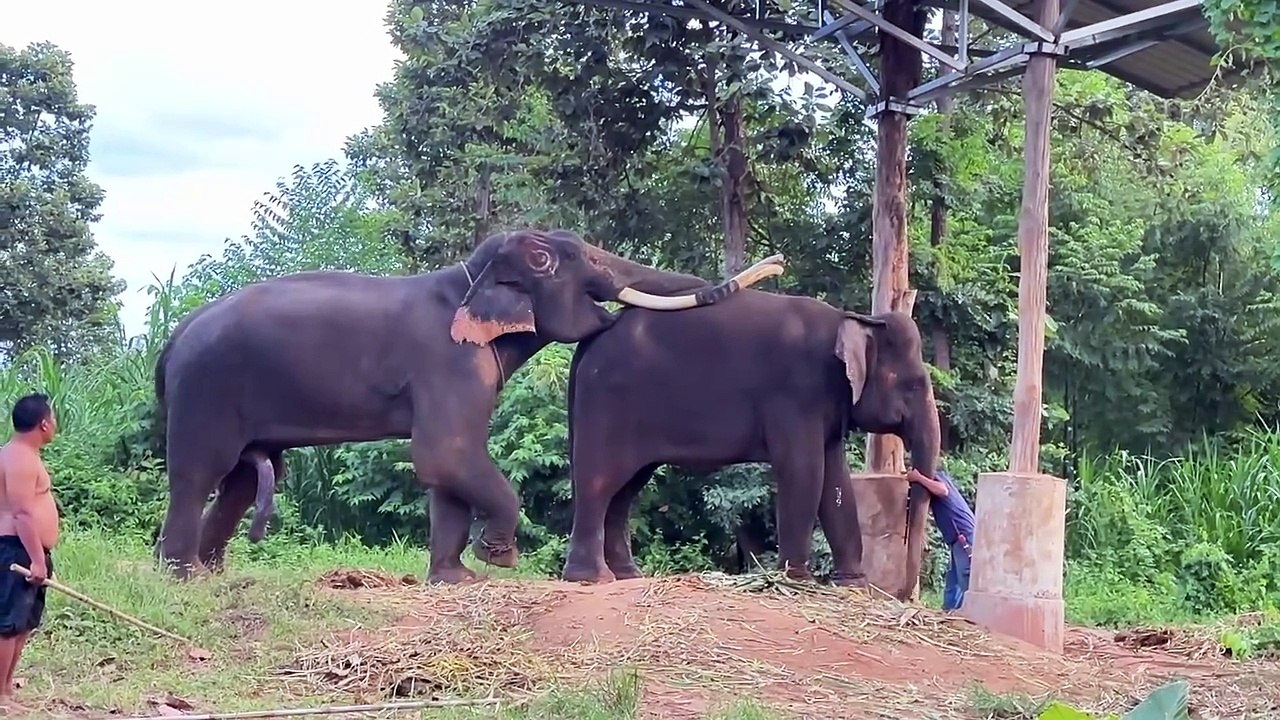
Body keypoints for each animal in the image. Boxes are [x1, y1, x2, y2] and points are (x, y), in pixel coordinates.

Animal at [152, 228, 785, 581]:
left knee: (243, 478)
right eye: (557, 259)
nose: (777, 263)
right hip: (205, 391)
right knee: (200, 471)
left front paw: (456, 580)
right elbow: (446, 453)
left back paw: (208, 573)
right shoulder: (448, 363)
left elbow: (444, 470)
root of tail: (174, 337)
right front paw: (498, 560)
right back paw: (182, 577)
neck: (466, 276)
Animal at [560, 288, 941, 586]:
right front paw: (795, 580)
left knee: (624, 490)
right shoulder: (796, 393)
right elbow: (803, 470)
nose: (912, 476)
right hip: (609, 404)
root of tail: (589, 343)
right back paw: (592, 578)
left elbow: (836, 480)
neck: (855, 320)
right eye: (913, 384)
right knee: (600, 481)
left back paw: (626, 576)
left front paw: (852, 586)